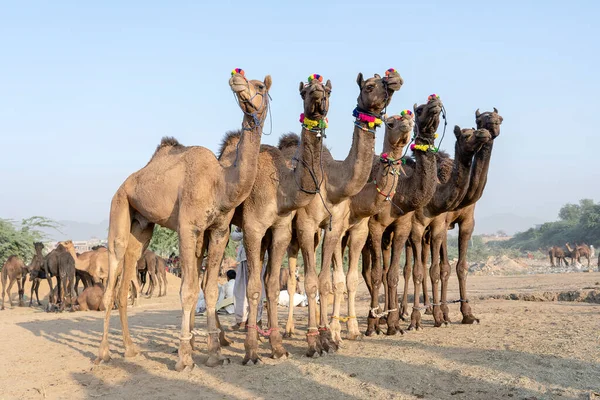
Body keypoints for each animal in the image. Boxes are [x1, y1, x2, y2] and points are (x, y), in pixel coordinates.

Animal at [96, 69, 272, 372]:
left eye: (260, 86)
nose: (236, 78)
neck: (221, 183)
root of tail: (125, 184)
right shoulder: (188, 228)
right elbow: (188, 290)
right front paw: (184, 358)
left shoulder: (219, 230)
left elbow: (210, 290)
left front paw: (215, 355)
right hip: (118, 205)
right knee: (113, 268)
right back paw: (103, 354)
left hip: (141, 226)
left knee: (126, 277)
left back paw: (130, 349)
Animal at [219, 73, 332, 364]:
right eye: (306, 91)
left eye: (326, 90)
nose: (236, 78)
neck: (283, 187)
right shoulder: (253, 227)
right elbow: (253, 287)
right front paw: (250, 352)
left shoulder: (280, 229)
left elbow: (270, 284)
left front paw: (278, 347)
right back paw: (223, 339)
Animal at [282, 69, 404, 356]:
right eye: (369, 86)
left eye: (328, 91)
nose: (394, 80)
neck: (332, 182)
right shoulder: (307, 223)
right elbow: (314, 282)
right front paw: (315, 340)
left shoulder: (337, 226)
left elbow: (329, 282)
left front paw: (331, 336)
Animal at [358, 95, 442, 336]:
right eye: (389, 123)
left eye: (411, 118)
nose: (435, 102)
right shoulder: (375, 226)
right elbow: (377, 274)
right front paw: (372, 326)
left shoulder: (402, 226)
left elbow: (393, 275)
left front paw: (394, 324)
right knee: (367, 272)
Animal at [434, 108, 504, 324]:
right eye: (480, 119)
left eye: (499, 118)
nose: (490, 128)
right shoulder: (443, 221)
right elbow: (444, 267)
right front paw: (445, 313)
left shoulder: (467, 222)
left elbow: (462, 266)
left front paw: (468, 314)